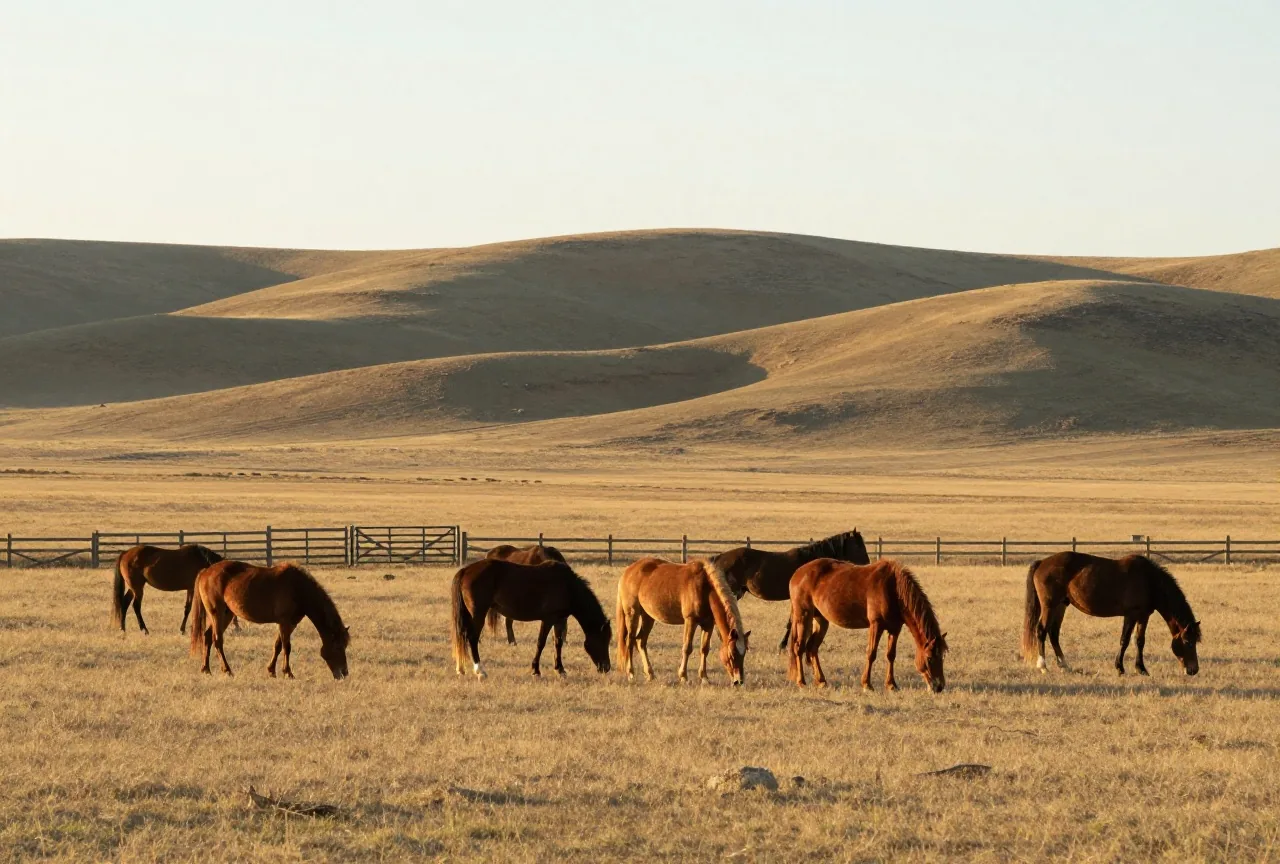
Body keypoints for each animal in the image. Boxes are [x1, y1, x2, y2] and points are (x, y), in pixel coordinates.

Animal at [189, 560, 349, 679]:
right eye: (337, 647)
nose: (344, 673)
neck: (298, 588)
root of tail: (206, 571)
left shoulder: (290, 623)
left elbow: (278, 645)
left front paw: (271, 671)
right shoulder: (284, 622)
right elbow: (287, 647)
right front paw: (288, 673)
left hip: (226, 614)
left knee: (207, 637)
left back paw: (206, 669)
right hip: (217, 613)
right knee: (217, 640)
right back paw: (227, 670)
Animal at [451, 558, 611, 679]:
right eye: (603, 640)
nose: (606, 667)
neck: (568, 587)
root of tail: (466, 570)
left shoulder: (559, 620)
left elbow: (558, 643)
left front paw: (560, 669)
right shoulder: (548, 619)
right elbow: (541, 643)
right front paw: (536, 670)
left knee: (462, 636)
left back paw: (461, 669)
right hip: (478, 613)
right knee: (472, 638)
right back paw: (480, 671)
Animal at [616, 558, 750, 686]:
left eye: (744, 654)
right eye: (732, 654)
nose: (738, 681)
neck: (705, 588)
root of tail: (628, 571)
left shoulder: (708, 625)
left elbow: (704, 649)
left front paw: (704, 678)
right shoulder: (690, 621)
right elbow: (687, 648)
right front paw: (683, 677)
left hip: (648, 617)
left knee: (640, 642)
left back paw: (650, 674)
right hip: (632, 614)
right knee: (630, 641)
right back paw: (631, 674)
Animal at [787, 559, 947, 692]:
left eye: (942, 657)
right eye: (929, 658)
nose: (939, 687)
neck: (893, 589)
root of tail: (798, 573)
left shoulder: (895, 628)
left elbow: (891, 655)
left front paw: (891, 685)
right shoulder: (876, 625)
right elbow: (871, 653)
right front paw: (867, 684)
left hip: (821, 620)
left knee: (812, 648)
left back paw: (821, 681)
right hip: (803, 616)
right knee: (799, 647)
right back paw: (801, 682)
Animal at [1021, 552, 1202, 676]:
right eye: (1188, 642)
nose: (1193, 670)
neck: (1150, 581)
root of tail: (1042, 562)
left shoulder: (1143, 616)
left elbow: (1139, 641)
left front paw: (1141, 669)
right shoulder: (1131, 615)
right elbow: (1125, 640)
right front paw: (1120, 668)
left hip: (1061, 606)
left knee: (1053, 633)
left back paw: (1064, 665)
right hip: (1050, 606)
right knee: (1041, 630)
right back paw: (1043, 666)